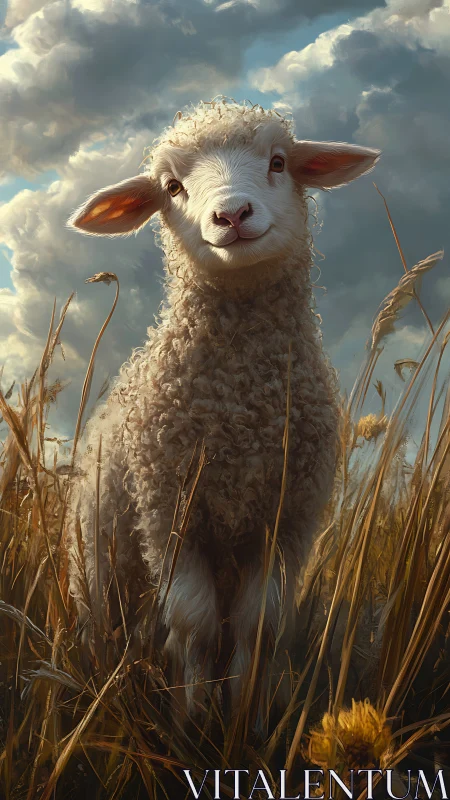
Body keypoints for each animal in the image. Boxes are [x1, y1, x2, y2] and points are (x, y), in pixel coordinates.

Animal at [66, 99, 380, 724]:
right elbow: (196, 624)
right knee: (102, 619)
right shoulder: (168, 513)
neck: (238, 406)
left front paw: (245, 713)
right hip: (99, 553)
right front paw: (192, 719)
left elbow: (259, 625)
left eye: (279, 161)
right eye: (171, 187)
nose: (232, 214)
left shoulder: (286, 520)